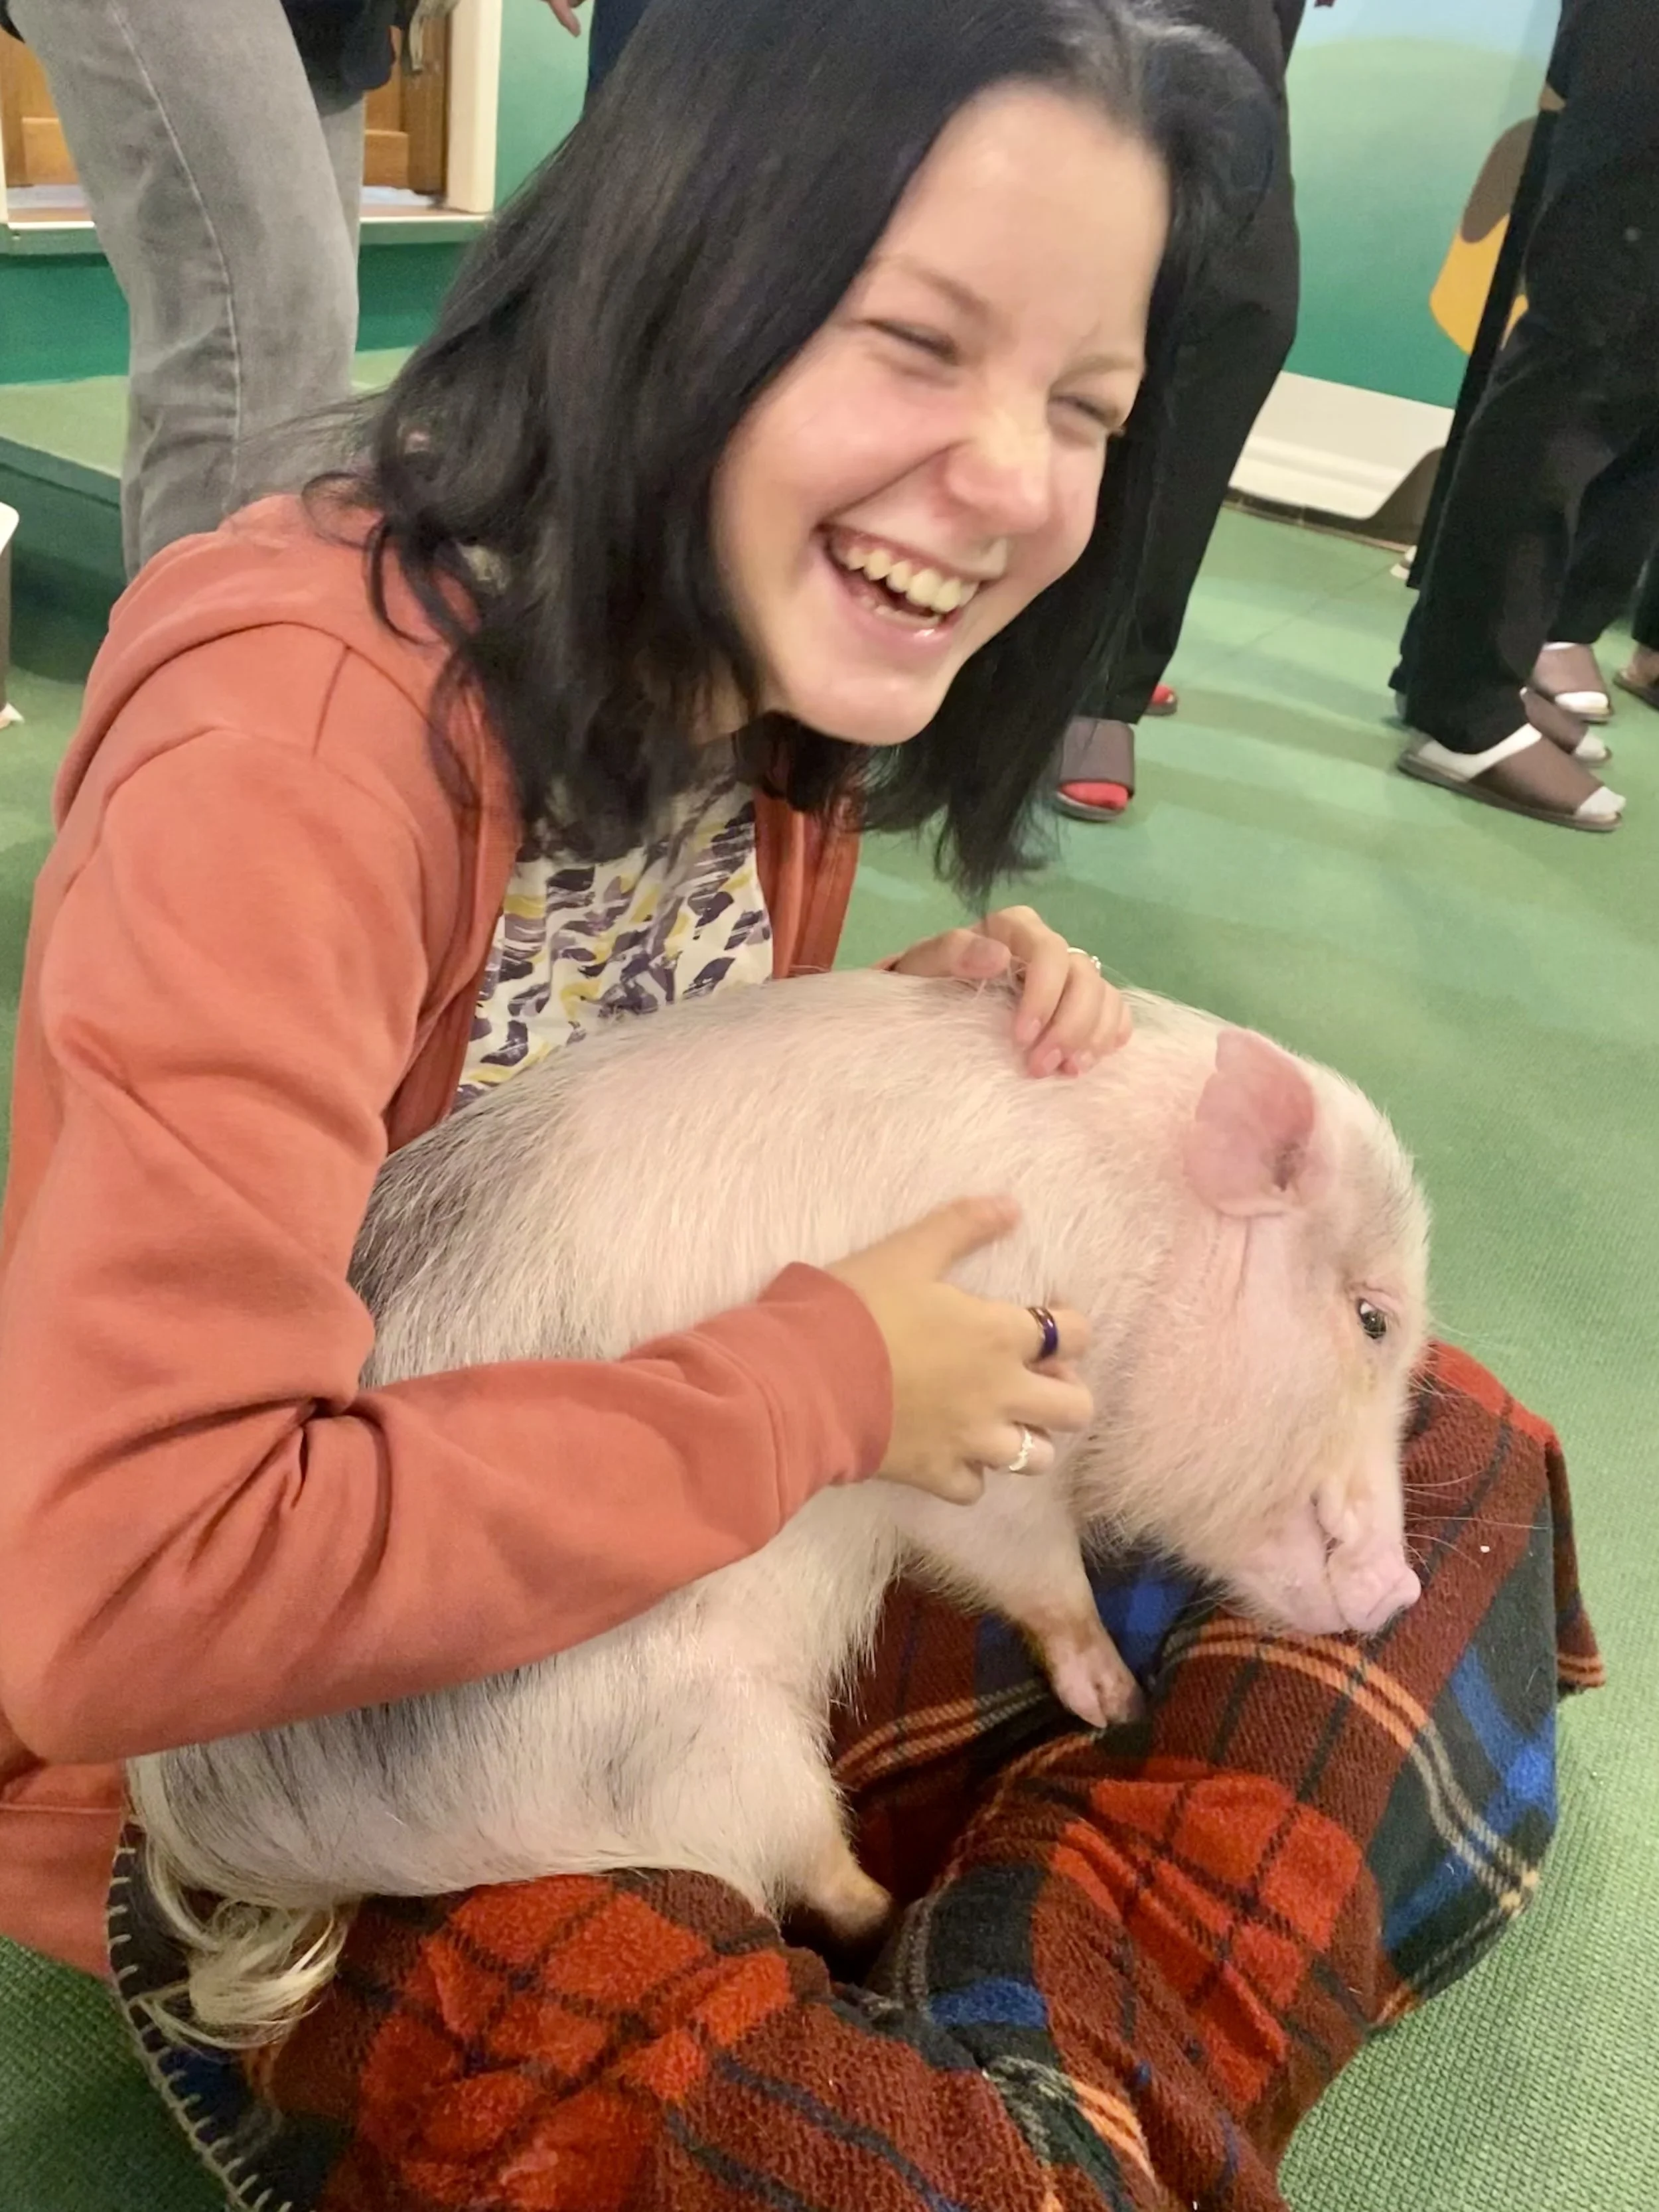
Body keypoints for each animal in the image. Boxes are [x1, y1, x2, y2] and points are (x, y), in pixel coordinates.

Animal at [127, 971, 1429, 2043]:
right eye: (1371, 1316)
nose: (1403, 1584)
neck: (1141, 1249)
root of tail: (268, 1843)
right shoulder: (995, 1452)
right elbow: (1036, 1568)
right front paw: (1117, 1698)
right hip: (695, 1735)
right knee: (810, 1867)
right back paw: (891, 1912)